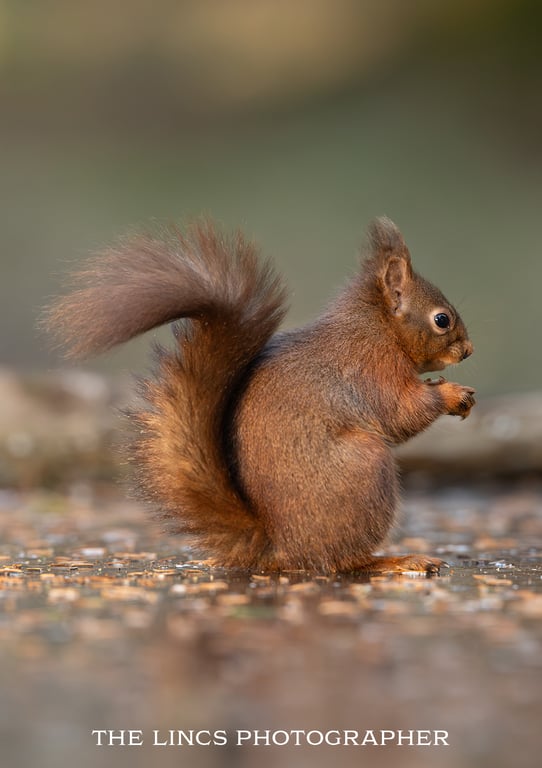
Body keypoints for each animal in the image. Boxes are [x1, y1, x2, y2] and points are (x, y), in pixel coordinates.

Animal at [45, 217, 475, 574]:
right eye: (442, 320)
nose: (469, 351)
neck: (379, 328)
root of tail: (278, 546)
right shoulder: (372, 369)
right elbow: (402, 413)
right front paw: (453, 395)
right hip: (365, 471)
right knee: (340, 561)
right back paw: (394, 561)